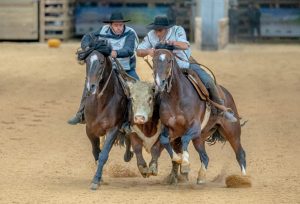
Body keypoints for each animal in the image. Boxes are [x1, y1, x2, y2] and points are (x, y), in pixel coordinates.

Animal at [82, 49, 129, 190]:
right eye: (87, 60)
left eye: (102, 61)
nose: (91, 87)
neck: (101, 101)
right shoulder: (90, 129)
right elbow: (96, 152)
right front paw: (100, 178)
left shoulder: (113, 129)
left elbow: (103, 155)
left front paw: (96, 180)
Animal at [152, 48, 246, 184]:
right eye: (153, 60)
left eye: (169, 61)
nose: (160, 83)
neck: (177, 98)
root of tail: (226, 93)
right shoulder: (171, 128)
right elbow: (164, 140)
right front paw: (178, 159)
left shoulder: (194, 127)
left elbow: (185, 139)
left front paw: (185, 163)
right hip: (199, 138)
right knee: (205, 157)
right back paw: (201, 177)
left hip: (232, 132)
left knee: (240, 154)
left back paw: (244, 179)